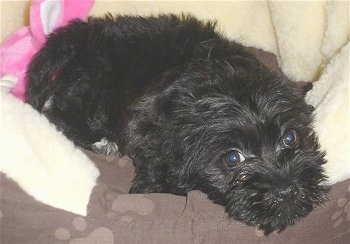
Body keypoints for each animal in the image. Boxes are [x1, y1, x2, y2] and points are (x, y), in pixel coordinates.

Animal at [27, 14, 328, 234]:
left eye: (290, 138)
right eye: (233, 158)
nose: (286, 191)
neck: (221, 81)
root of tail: (88, 33)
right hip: (91, 90)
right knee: (60, 116)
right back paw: (101, 142)